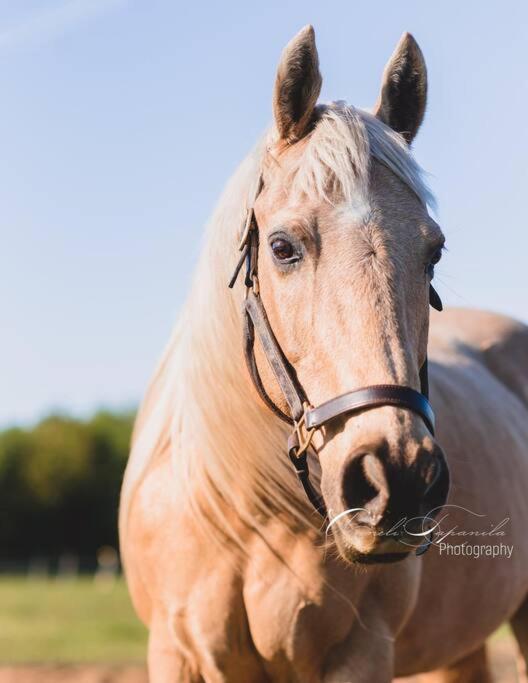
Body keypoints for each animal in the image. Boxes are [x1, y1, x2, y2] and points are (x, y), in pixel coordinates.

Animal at [119, 26, 528, 683]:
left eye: (434, 252)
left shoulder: (358, 653)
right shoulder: (176, 653)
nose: (398, 478)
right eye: (282, 246)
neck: (245, 515)